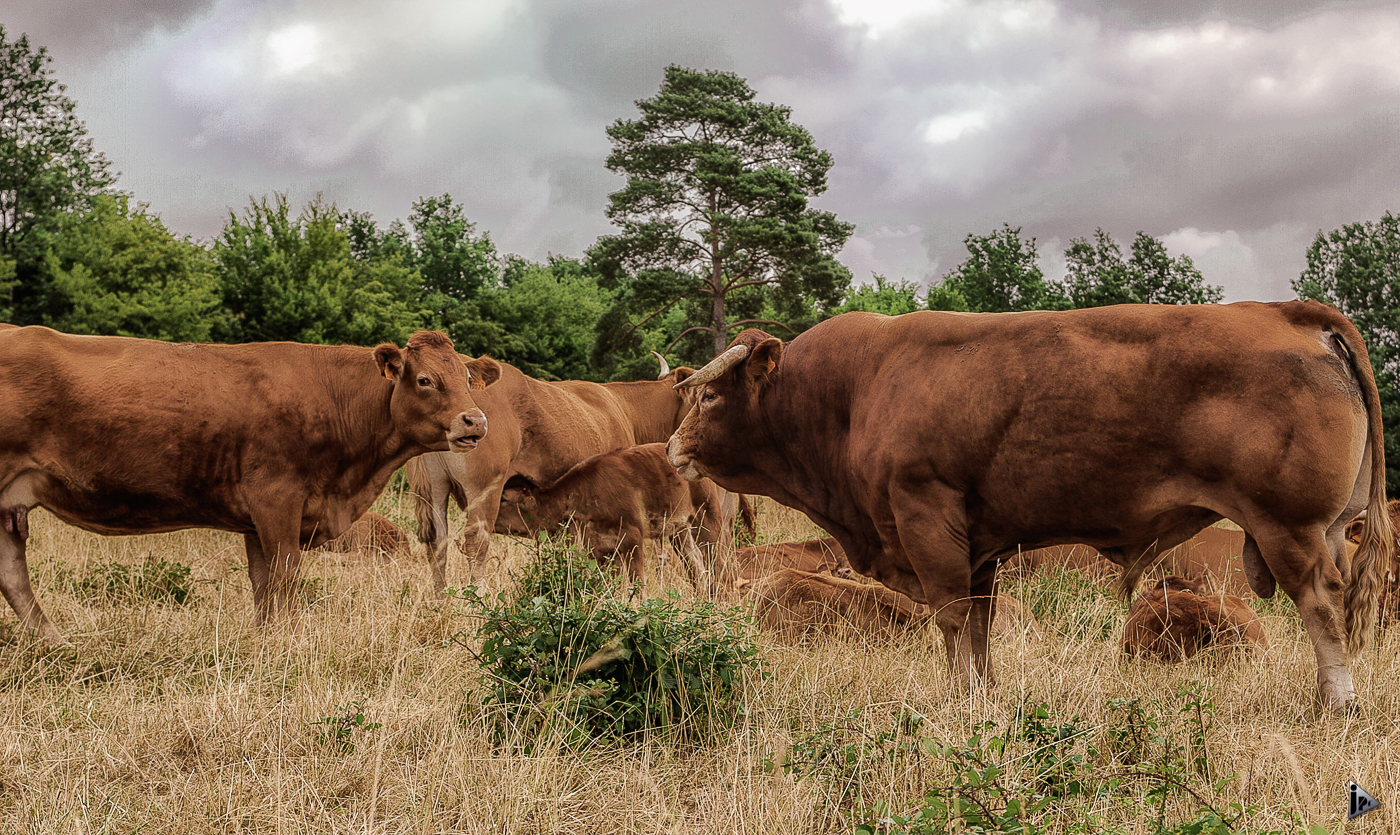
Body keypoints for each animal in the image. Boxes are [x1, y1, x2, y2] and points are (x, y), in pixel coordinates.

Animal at [0, 326, 504, 638]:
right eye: (425, 379)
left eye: (466, 377)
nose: (476, 420)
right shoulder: (277, 501)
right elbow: (285, 579)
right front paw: (289, 641)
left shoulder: (257, 518)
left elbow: (263, 587)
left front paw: (266, 640)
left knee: (13, 575)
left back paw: (58, 641)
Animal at [495, 442, 733, 594]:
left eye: (504, 499)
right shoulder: (600, 550)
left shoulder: (632, 537)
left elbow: (637, 585)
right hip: (680, 530)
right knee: (696, 566)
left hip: (707, 516)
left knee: (717, 564)